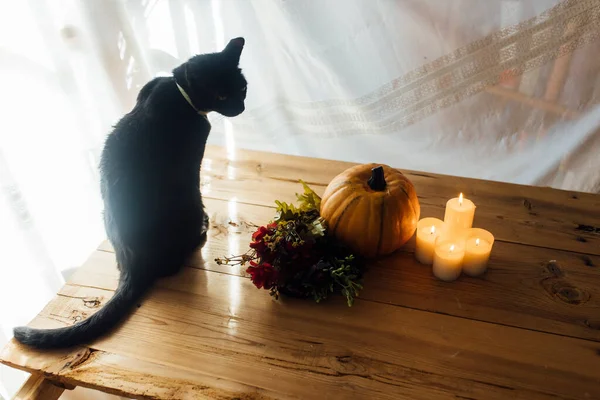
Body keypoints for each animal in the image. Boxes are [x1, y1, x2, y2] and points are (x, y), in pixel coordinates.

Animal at [14, 38, 248, 350]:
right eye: (221, 95)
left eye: (243, 89)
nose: (240, 107)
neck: (177, 91)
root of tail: (133, 267)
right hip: (188, 201)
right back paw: (201, 232)